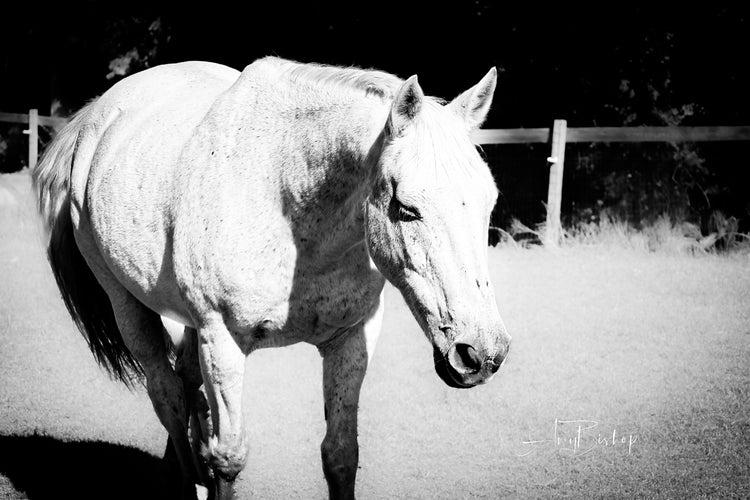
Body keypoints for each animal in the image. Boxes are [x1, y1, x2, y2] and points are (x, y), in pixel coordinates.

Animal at [32, 56, 511, 499]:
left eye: (489, 203)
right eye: (407, 209)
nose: (481, 353)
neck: (288, 201)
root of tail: (94, 118)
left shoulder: (351, 337)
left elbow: (341, 453)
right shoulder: (222, 340)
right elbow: (229, 457)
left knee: (187, 386)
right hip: (128, 305)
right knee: (168, 396)